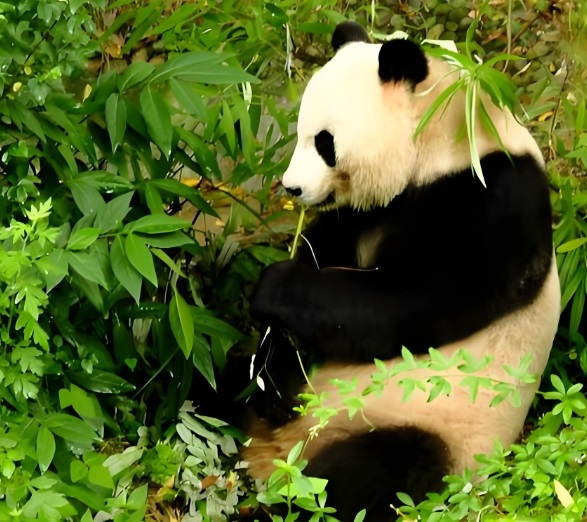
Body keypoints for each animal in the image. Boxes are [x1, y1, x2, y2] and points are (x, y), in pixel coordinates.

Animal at [242, 20, 560, 520]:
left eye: (325, 142)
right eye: (300, 132)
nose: (291, 188)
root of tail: (277, 453)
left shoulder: (494, 200)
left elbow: (414, 301)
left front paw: (274, 287)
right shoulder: (366, 212)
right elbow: (326, 252)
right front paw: (272, 366)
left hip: (428, 427)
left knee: (372, 473)